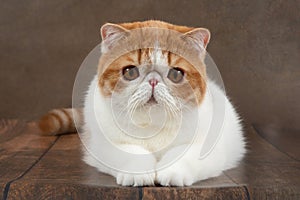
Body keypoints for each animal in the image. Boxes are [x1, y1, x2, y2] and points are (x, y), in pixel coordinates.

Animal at [37, 19, 245, 186]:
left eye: (175, 74)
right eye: (130, 72)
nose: (153, 81)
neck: (152, 125)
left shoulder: (207, 147)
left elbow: (184, 155)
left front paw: (172, 172)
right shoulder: (103, 145)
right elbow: (131, 151)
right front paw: (138, 173)